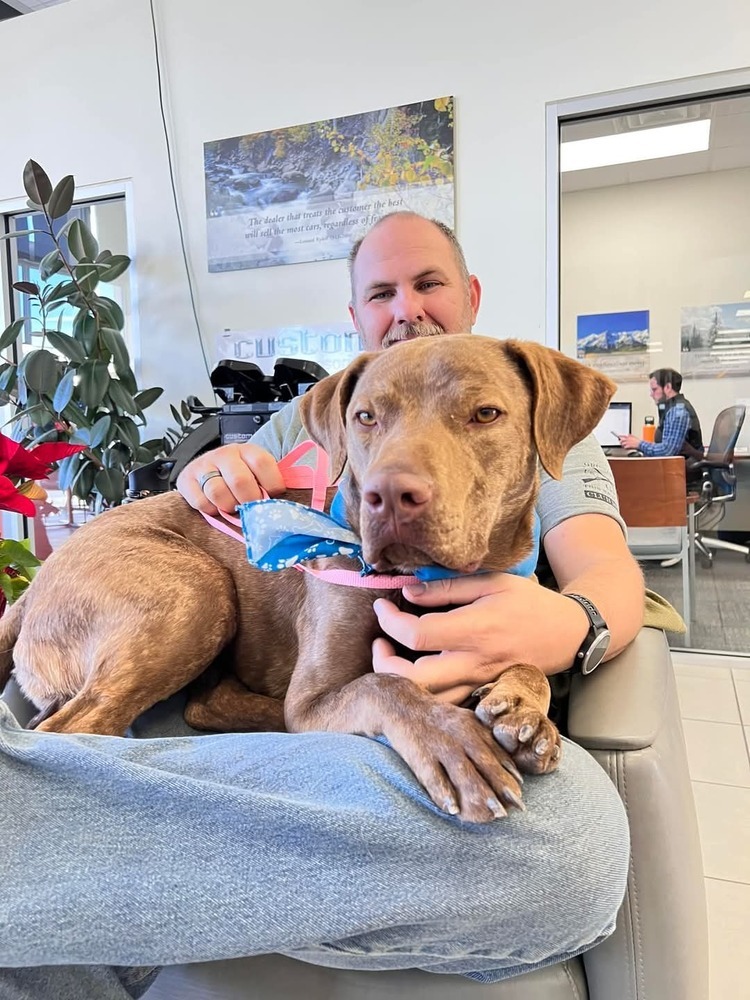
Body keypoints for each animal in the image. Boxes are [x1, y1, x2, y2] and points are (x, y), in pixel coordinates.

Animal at [0, 336, 616, 820]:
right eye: (365, 417)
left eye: (485, 414)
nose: (390, 495)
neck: (424, 581)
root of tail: (32, 586)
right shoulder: (324, 684)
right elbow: (384, 685)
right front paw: (450, 737)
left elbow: (527, 659)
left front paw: (524, 707)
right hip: (195, 589)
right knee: (75, 730)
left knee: (198, 703)